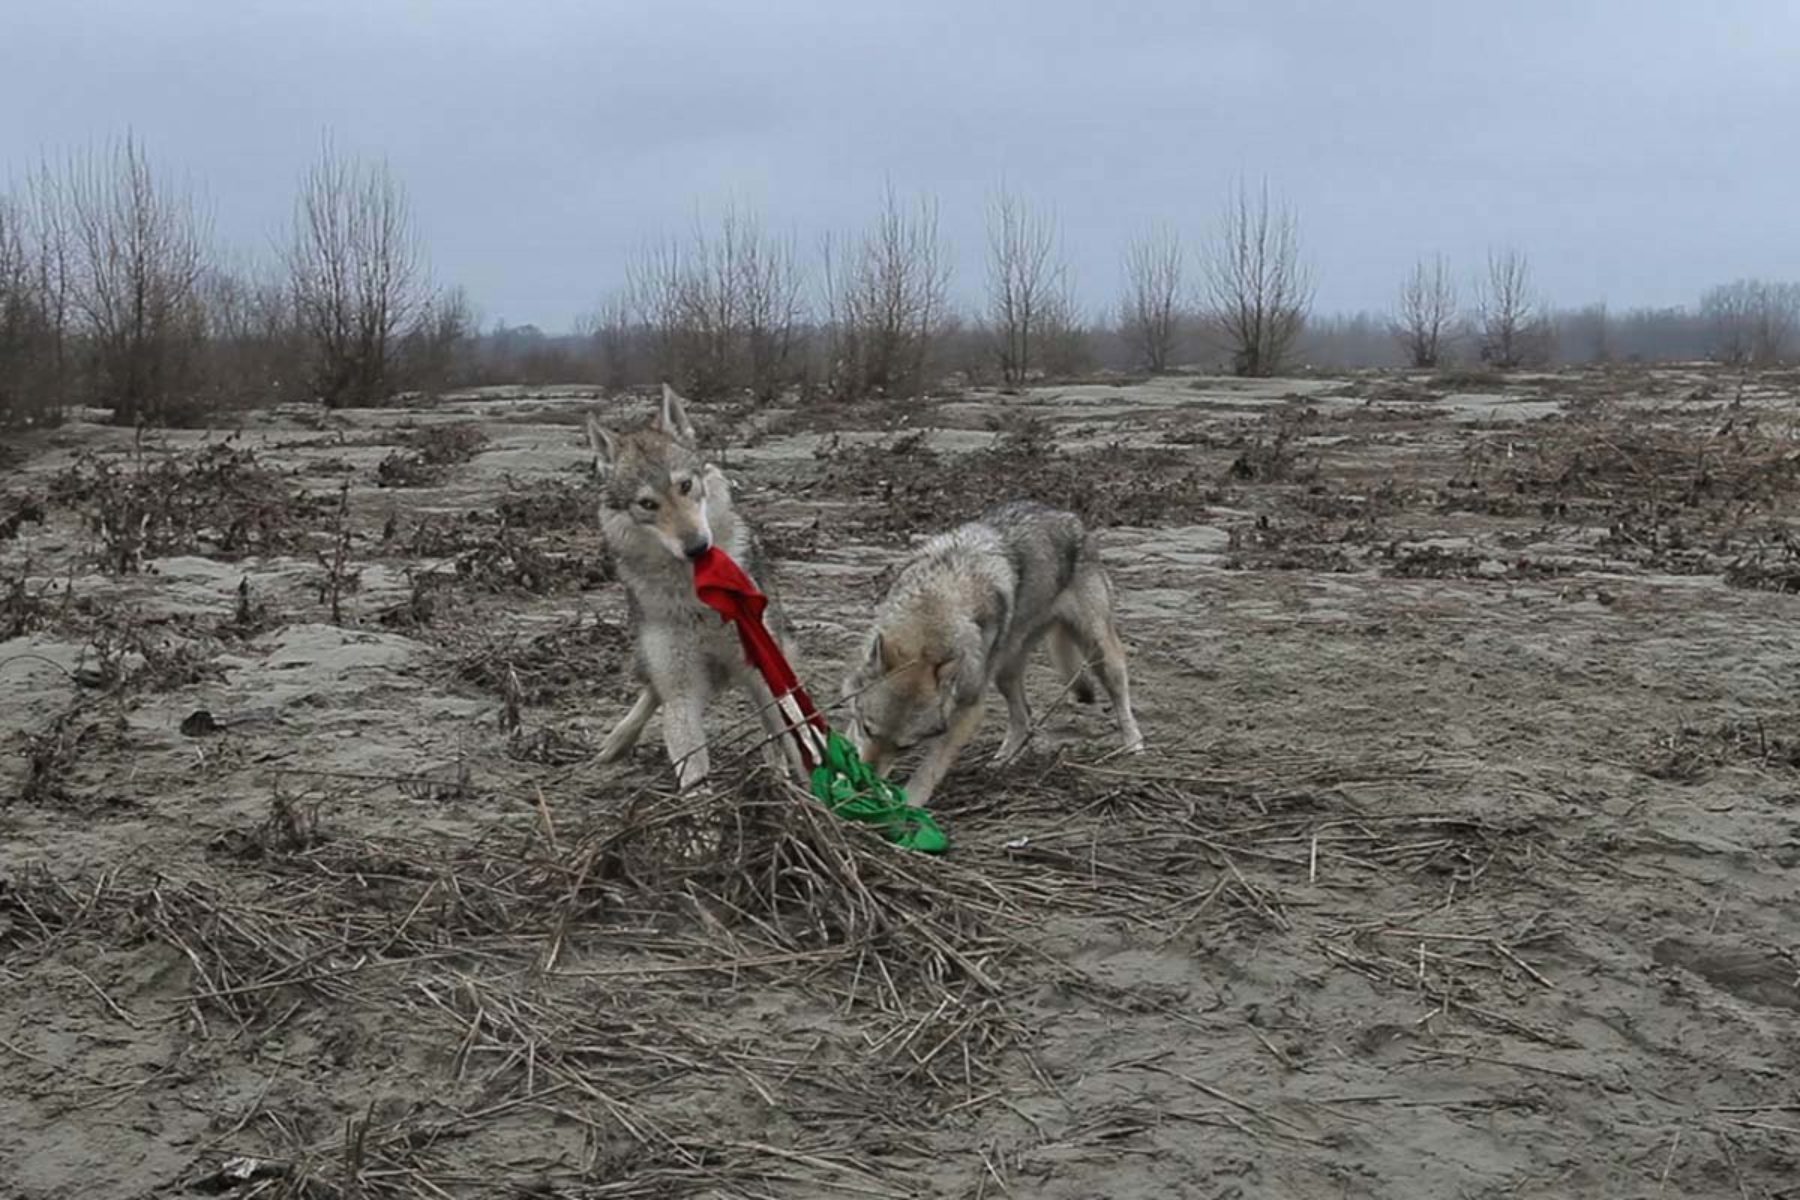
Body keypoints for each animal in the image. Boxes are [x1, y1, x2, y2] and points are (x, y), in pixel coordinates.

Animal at [590, 385, 802, 791]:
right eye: (647, 504)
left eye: (685, 486)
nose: (697, 547)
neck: (696, 596)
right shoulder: (682, 691)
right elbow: (693, 776)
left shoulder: (762, 671)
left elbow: (795, 742)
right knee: (652, 692)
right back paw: (617, 741)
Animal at [838, 496, 1144, 805]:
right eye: (867, 728)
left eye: (905, 747)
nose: (862, 784)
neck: (932, 612)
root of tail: (1067, 515)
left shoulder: (969, 711)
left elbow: (929, 770)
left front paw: (910, 805)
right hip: (1005, 671)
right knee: (1024, 718)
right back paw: (1002, 762)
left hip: (1098, 652)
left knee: (1120, 698)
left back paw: (1134, 744)